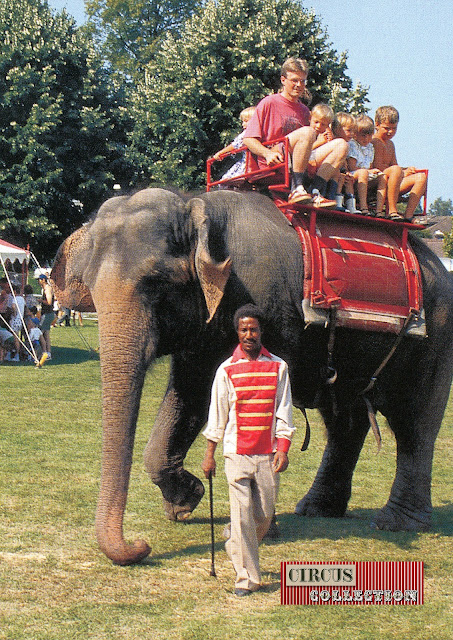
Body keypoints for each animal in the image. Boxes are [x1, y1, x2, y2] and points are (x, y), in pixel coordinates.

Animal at [51, 186, 452, 564]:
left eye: (157, 282)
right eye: (90, 286)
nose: (140, 545)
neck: (197, 205)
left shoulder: (271, 310)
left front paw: (251, 529)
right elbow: (190, 396)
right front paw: (188, 502)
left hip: (435, 337)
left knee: (414, 424)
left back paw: (395, 523)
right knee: (345, 421)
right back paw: (317, 509)